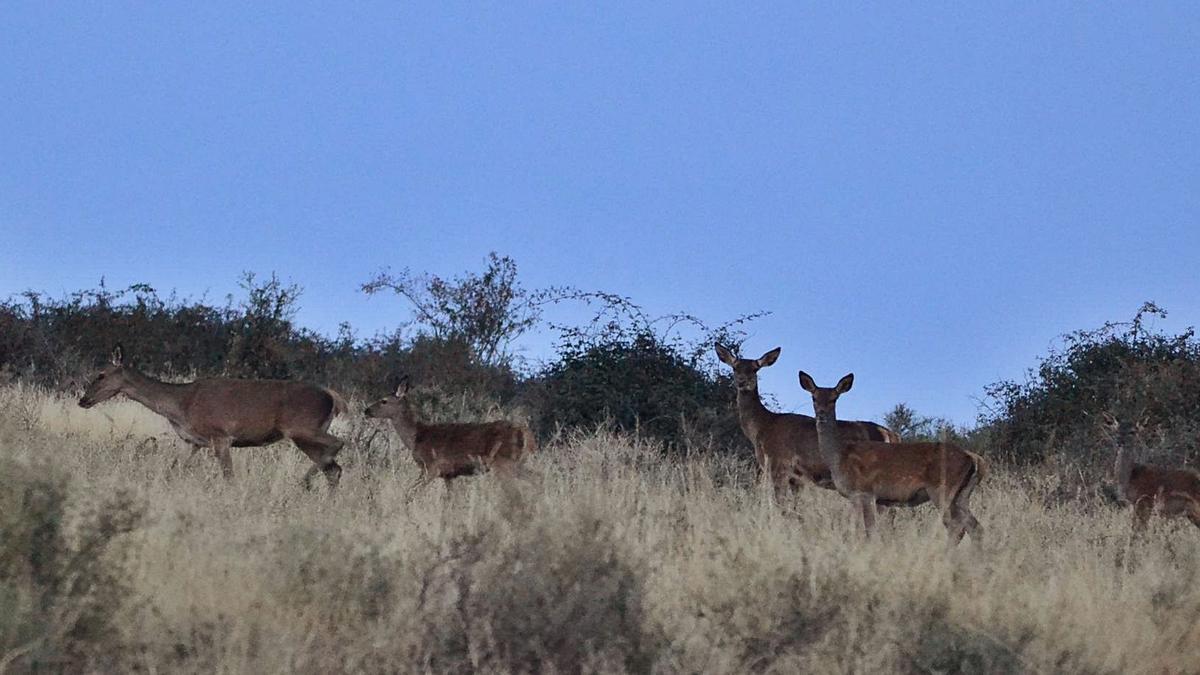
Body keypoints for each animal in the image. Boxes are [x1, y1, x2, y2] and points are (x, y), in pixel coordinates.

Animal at [78, 343, 348, 485]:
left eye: (101, 374)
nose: (83, 400)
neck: (181, 405)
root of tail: (332, 396)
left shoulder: (221, 435)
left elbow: (229, 477)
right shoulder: (191, 442)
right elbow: (171, 471)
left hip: (301, 427)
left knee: (338, 444)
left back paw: (304, 482)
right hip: (305, 435)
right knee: (334, 469)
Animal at [362, 374, 537, 492]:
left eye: (383, 401)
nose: (366, 411)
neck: (416, 437)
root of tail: (526, 433)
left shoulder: (431, 467)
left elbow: (410, 492)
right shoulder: (449, 475)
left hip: (504, 463)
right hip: (518, 463)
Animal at [710, 343, 902, 497]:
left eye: (755, 369)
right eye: (735, 368)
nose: (743, 382)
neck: (763, 427)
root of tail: (892, 436)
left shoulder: (778, 465)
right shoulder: (795, 478)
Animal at [796, 369, 984, 542]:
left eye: (834, 399)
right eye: (814, 397)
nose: (821, 414)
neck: (839, 455)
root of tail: (974, 459)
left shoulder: (864, 491)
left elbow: (868, 531)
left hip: (943, 490)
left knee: (957, 527)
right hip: (962, 496)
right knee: (974, 526)